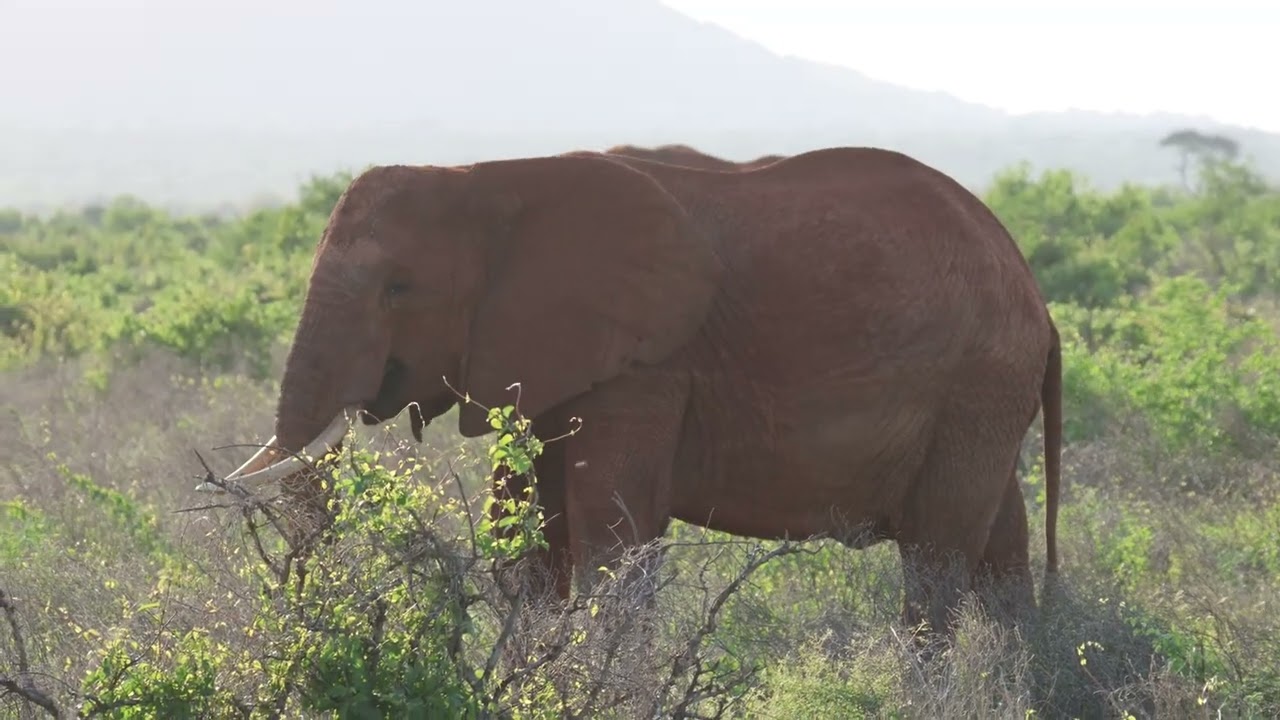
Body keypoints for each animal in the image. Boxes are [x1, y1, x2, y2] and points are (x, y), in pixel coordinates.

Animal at [201, 145, 1062, 637]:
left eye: (398, 289)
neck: (490, 180)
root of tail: (1038, 300)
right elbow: (529, 539)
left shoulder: (646, 365)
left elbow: (613, 539)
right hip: (985, 398)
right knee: (1001, 556)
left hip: (977, 382)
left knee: (937, 565)